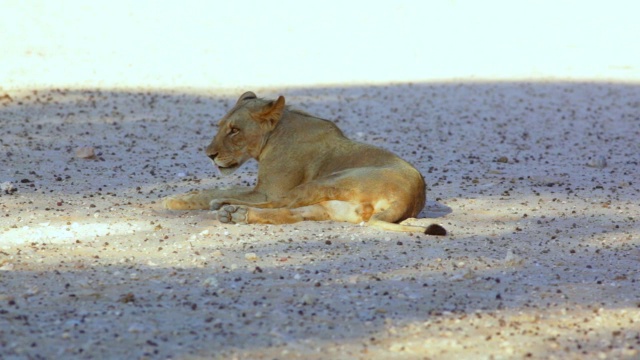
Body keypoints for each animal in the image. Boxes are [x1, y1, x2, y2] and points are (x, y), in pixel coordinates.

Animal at [162, 91, 448, 235]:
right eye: (221, 126)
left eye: (234, 130)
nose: (209, 154)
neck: (276, 132)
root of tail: (410, 198)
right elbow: (218, 187)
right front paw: (178, 198)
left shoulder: (267, 190)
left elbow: (221, 190)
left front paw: (177, 200)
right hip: (331, 207)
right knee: (289, 213)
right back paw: (236, 214)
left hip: (329, 180)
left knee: (281, 204)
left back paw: (226, 208)